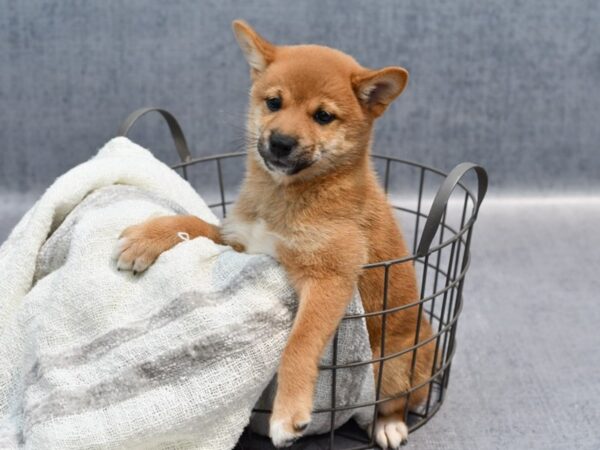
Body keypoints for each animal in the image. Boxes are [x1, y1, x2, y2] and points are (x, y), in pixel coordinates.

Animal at [116, 20, 436, 446]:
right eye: (273, 103)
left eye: (323, 116)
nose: (281, 142)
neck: (283, 197)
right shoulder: (240, 242)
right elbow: (195, 225)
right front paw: (146, 237)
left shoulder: (329, 276)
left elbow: (298, 345)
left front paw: (288, 414)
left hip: (397, 365)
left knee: (394, 402)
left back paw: (387, 425)